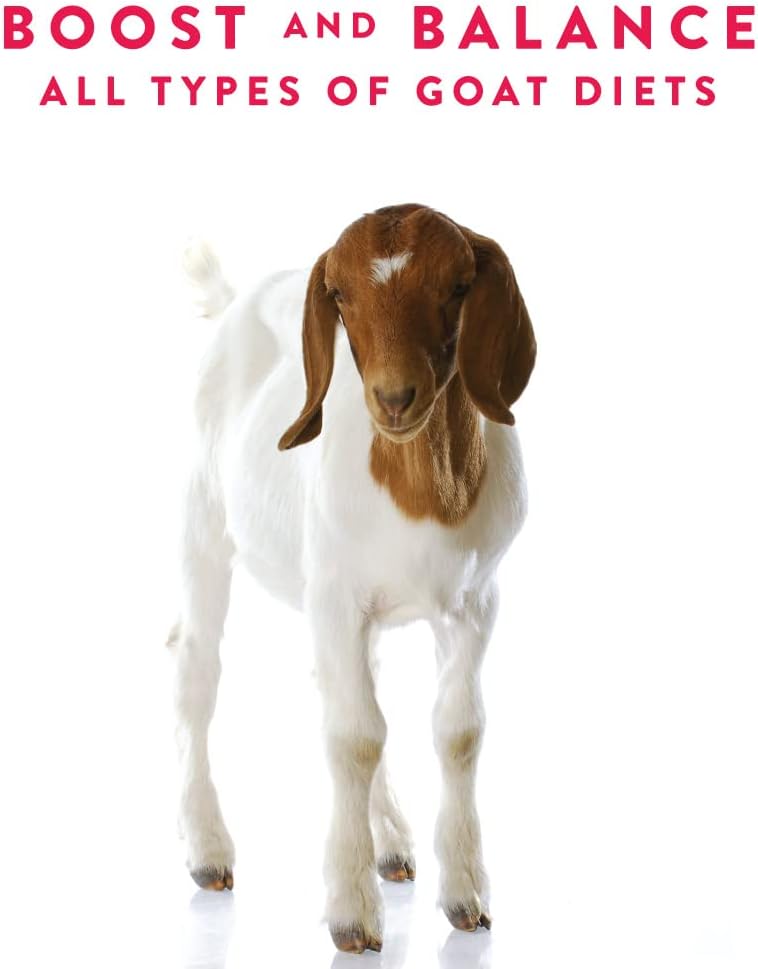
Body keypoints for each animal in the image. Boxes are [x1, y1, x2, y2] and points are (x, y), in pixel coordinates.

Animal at [170, 203, 536, 954]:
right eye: (340, 295)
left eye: (459, 285)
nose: (394, 399)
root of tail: (235, 299)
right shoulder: (335, 599)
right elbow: (354, 737)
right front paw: (351, 913)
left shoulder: (473, 601)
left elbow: (457, 730)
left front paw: (466, 897)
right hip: (204, 528)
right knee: (197, 675)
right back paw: (209, 851)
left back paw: (391, 840)